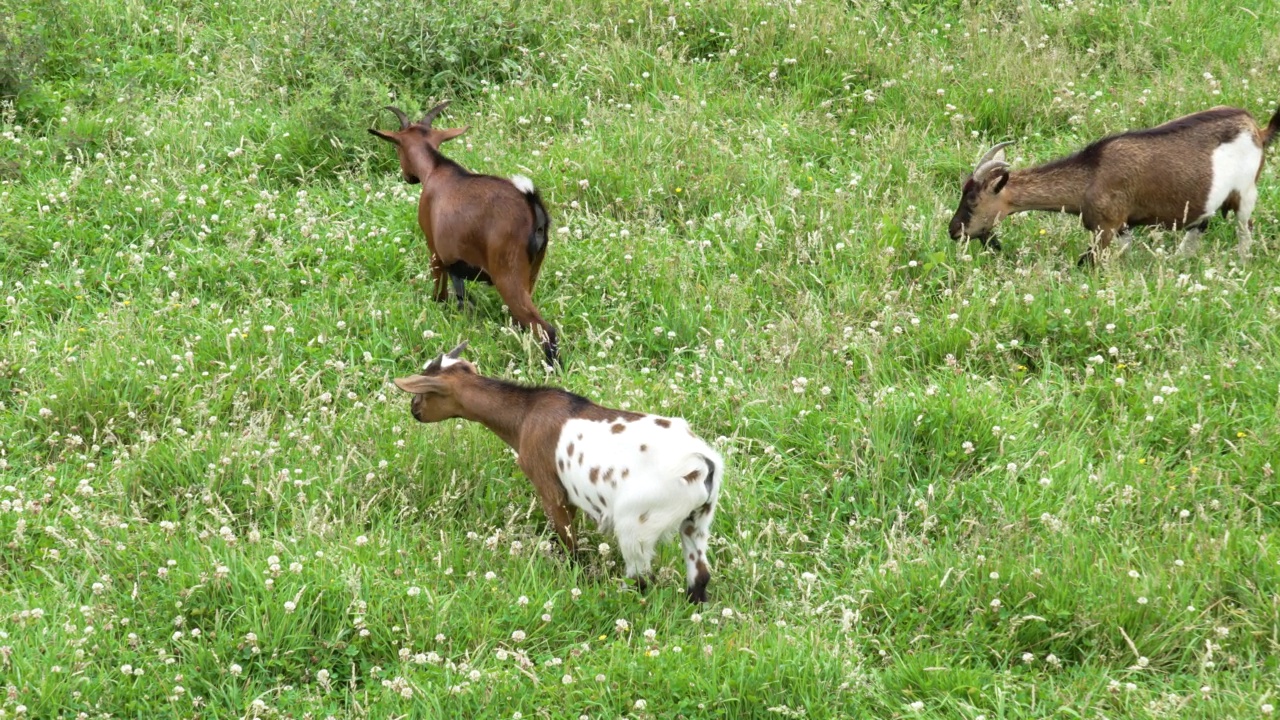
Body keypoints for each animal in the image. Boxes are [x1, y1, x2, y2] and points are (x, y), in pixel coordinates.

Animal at [366, 101, 555, 363]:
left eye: (397, 147)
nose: (408, 178)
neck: (437, 168)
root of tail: (532, 206)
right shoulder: (456, 260)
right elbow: (461, 292)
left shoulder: (435, 249)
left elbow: (441, 288)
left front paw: (437, 306)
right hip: (532, 271)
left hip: (508, 271)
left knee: (546, 329)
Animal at [952, 103, 1280, 263]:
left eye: (973, 200)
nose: (953, 231)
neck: (1091, 174)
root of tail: (1258, 130)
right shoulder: (1122, 227)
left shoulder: (1107, 227)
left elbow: (1087, 262)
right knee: (1199, 227)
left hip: (1246, 194)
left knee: (1245, 229)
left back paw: (1241, 264)